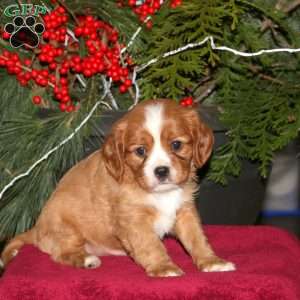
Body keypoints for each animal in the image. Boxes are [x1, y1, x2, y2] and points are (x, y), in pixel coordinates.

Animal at [1, 99, 236, 278]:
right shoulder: (133, 220)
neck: (160, 194)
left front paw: (211, 261)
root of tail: (36, 229)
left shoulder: (184, 210)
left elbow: (196, 238)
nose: (161, 171)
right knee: (62, 252)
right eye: (140, 151)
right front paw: (163, 267)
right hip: (66, 228)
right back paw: (86, 259)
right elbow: (150, 244)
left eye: (176, 145)